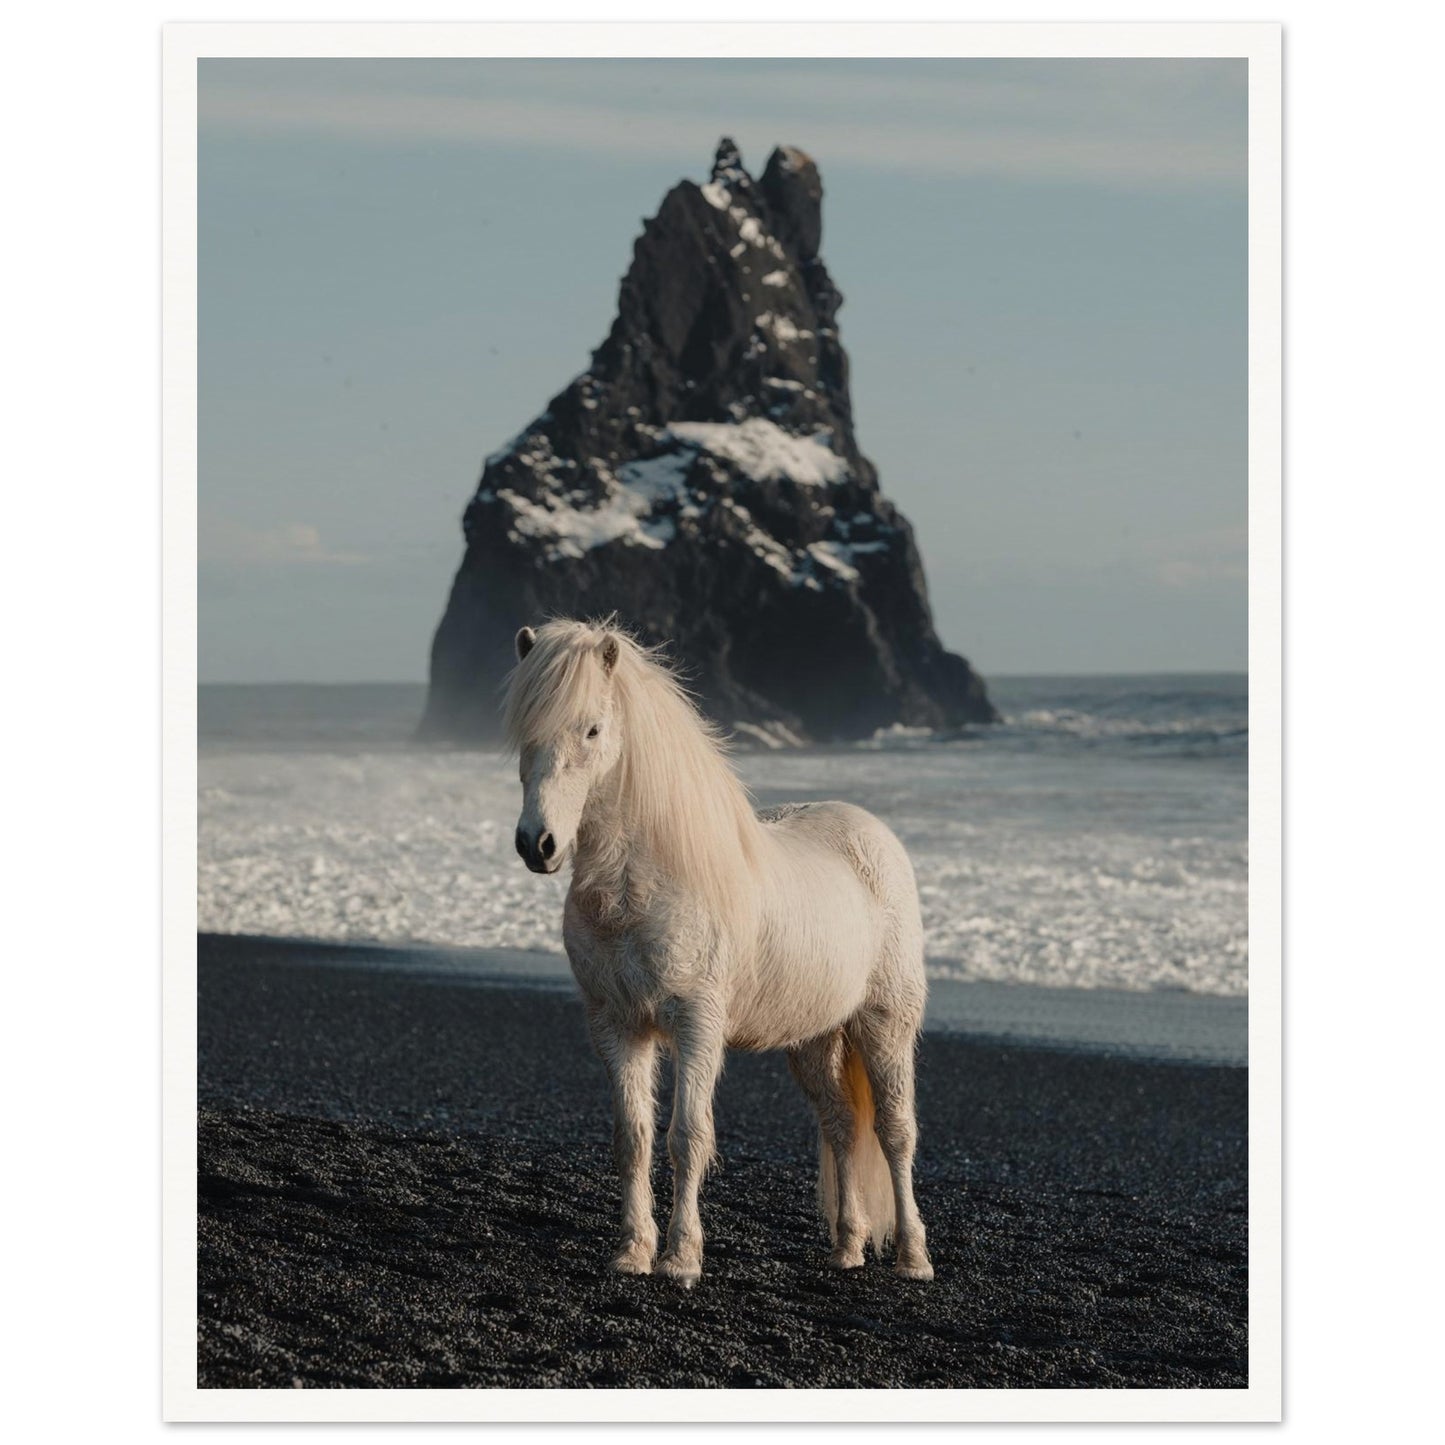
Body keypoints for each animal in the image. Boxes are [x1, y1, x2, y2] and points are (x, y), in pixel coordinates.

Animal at [503, 618, 934, 1287]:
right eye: (526, 730)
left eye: (592, 729)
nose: (537, 844)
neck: (646, 885)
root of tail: (872, 833)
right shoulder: (616, 1026)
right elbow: (634, 1138)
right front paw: (633, 1252)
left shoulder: (696, 1024)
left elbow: (687, 1136)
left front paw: (681, 1259)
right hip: (813, 1039)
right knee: (840, 1124)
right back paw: (847, 1247)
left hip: (884, 1023)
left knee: (894, 1132)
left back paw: (913, 1258)